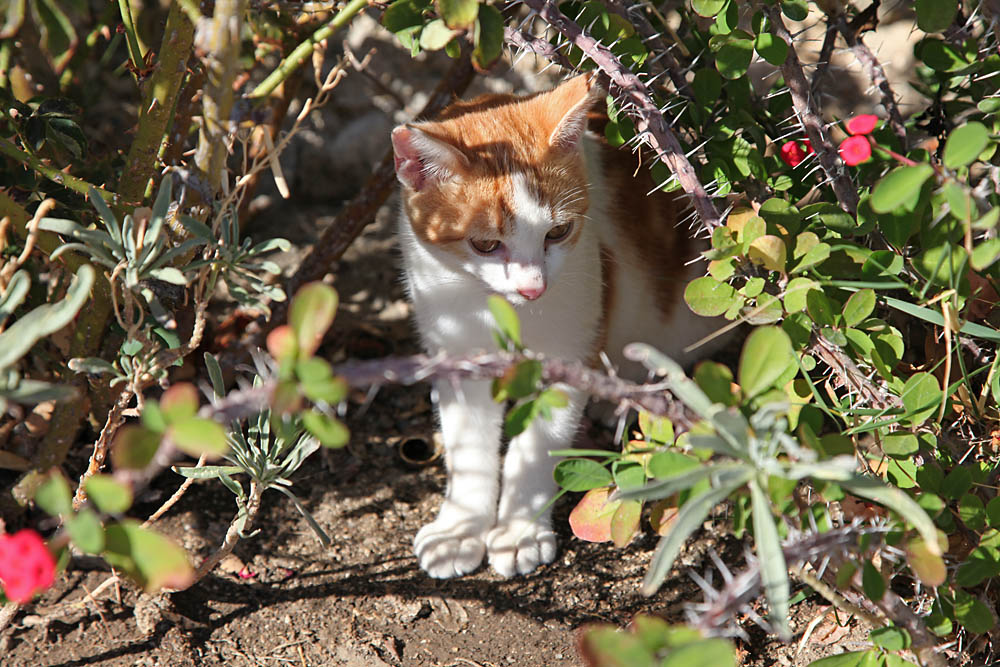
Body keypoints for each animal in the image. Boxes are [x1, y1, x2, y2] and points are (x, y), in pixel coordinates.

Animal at [386, 72, 724, 576]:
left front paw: (519, 532)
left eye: (558, 233)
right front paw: (460, 529)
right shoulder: (454, 346)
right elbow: (469, 446)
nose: (532, 289)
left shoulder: (571, 347)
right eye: (485, 244)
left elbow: (537, 446)